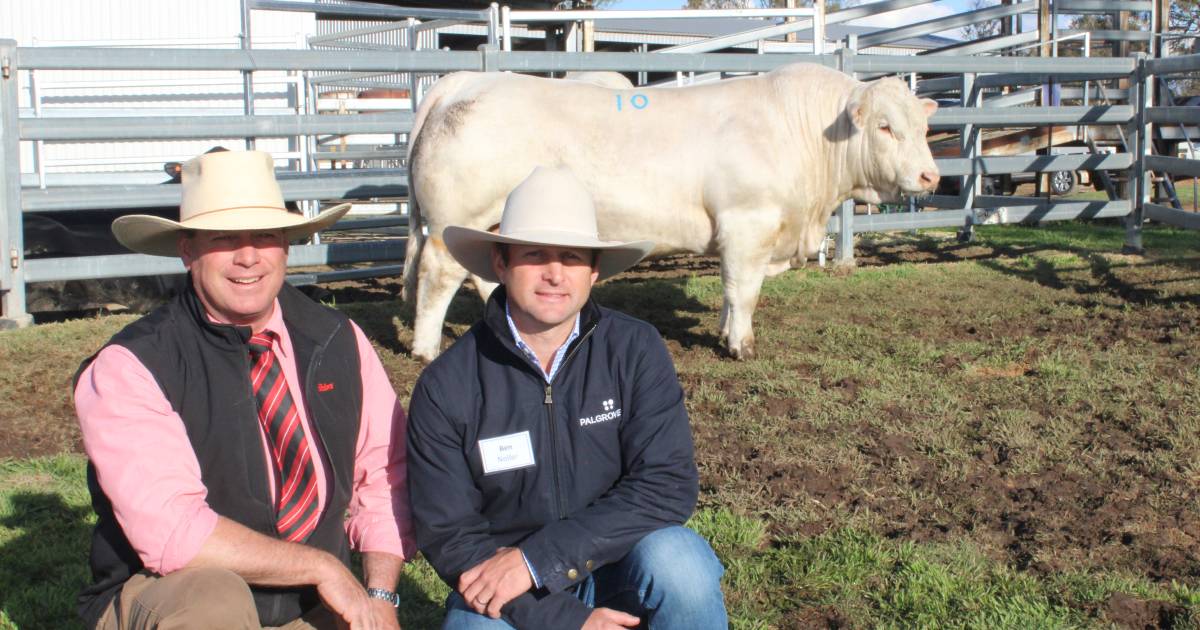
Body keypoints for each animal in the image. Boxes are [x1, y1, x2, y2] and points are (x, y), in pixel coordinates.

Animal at [400, 63, 936, 360]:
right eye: (885, 127)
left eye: (923, 128)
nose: (931, 176)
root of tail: (462, 82)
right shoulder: (749, 223)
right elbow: (744, 292)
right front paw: (742, 346)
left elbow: (728, 292)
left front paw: (723, 333)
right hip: (455, 219)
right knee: (438, 274)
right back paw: (425, 348)